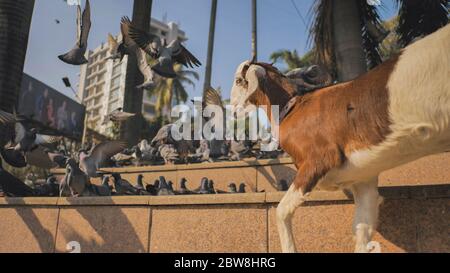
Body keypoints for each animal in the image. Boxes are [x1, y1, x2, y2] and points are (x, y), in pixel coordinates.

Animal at [232, 24, 450, 252]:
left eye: (238, 80)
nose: (233, 109)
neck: (294, 107)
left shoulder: (317, 162)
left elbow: (282, 211)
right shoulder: (364, 180)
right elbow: (362, 231)